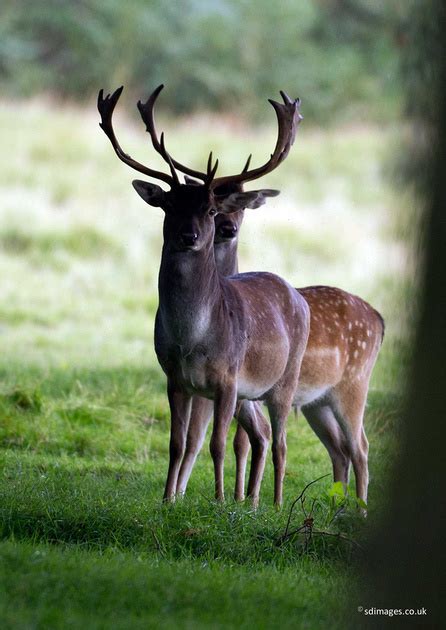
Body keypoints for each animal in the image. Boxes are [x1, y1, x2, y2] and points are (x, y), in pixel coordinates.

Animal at [96, 85, 310, 508]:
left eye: (210, 209)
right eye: (168, 205)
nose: (189, 235)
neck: (191, 339)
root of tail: (299, 297)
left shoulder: (227, 379)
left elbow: (216, 444)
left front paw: (221, 501)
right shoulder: (174, 378)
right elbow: (177, 444)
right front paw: (167, 500)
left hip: (285, 379)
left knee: (280, 441)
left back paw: (277, 505)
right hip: (251, 393)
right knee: (261, 436)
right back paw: (255, 502)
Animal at [176, 207, 386, 508]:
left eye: (239, 208)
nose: (227, 229)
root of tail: (379, 321)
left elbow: (215, 438)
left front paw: (234, 499)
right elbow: (220, 437)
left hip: (355, 385)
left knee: (361, 447)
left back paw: (360, 510)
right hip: (317, 403)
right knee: (340, 449)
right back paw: (338, 507)